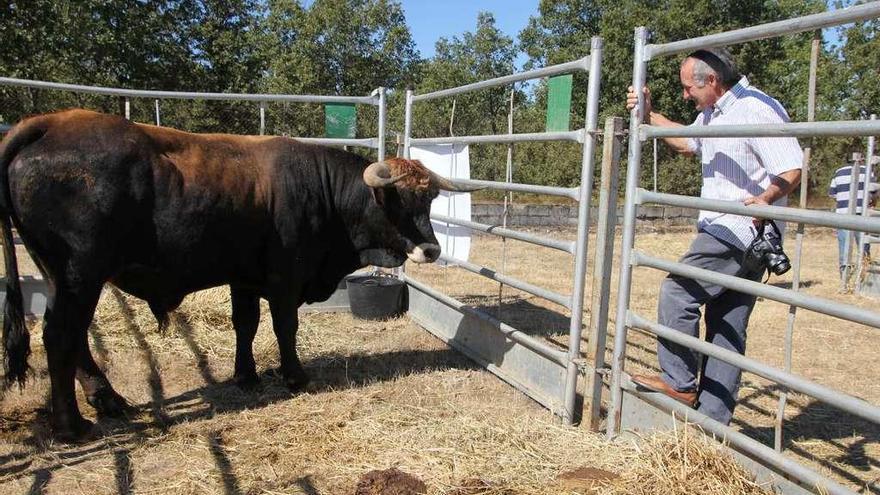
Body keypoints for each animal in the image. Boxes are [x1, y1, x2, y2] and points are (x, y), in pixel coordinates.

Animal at [0, 110, 470, 440]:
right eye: (398, 201)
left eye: (429, 199)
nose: (432, 249)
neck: (321, 191)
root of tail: (50, 123)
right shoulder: (285, 277)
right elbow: (284, 325)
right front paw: (294, 376)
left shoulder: (244, 277)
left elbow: (245, 324)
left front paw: (246, 376)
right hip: (80, 274)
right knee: (60, 335)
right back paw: (72, 425)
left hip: (62, 277)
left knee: (74, 337)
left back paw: (109, 400)